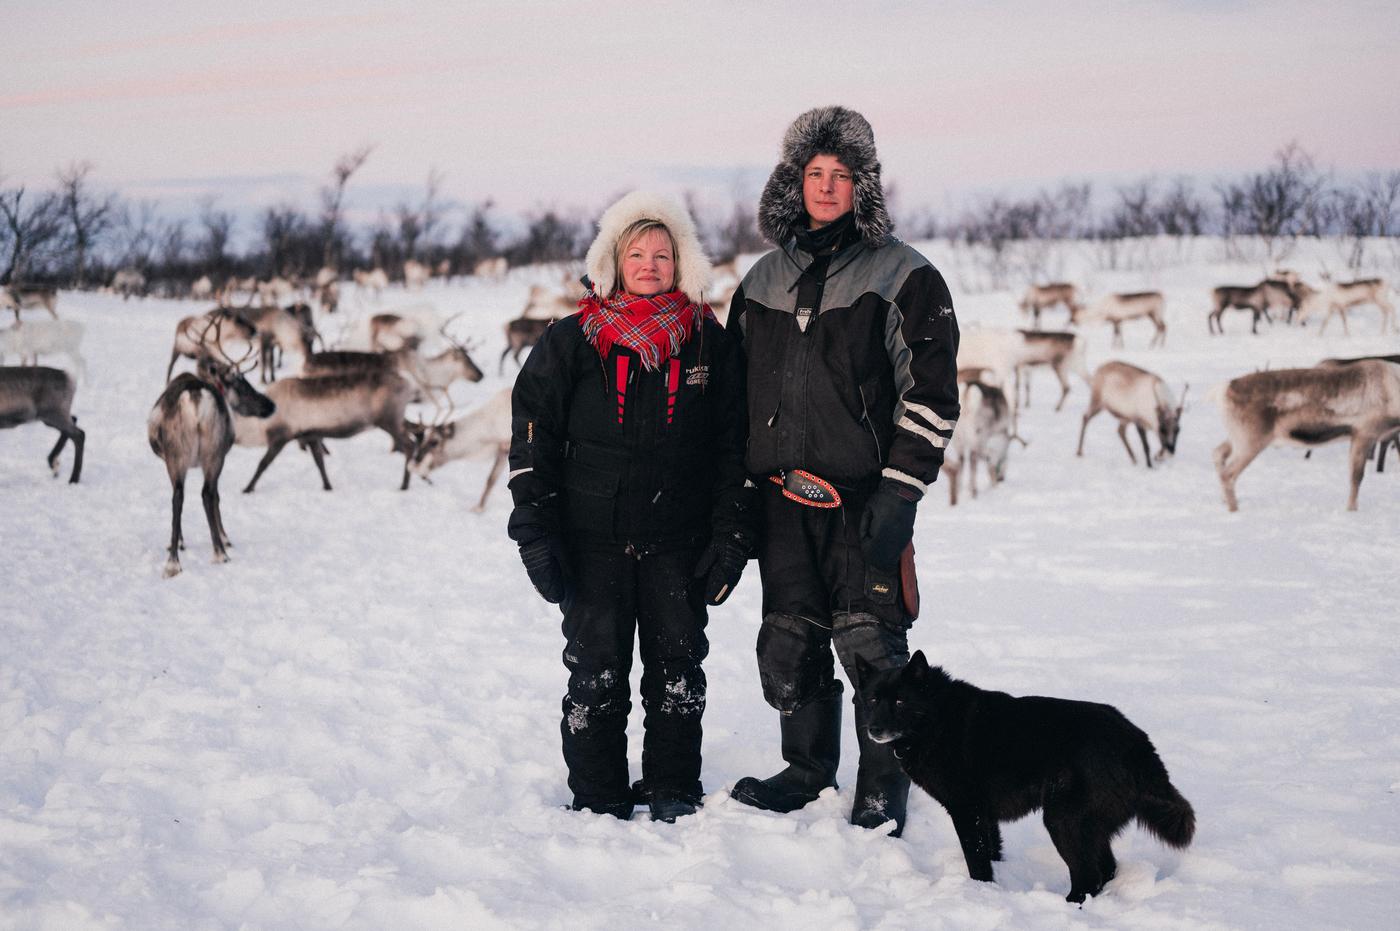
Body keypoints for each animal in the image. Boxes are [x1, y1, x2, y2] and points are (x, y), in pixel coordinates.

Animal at [856, 649, 1198, 901]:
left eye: (900, 701)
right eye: (873, 699)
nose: (874, 729)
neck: (935, 719)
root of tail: (1137, 741)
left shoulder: (966, 810)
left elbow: (976, 860)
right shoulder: (984, 815)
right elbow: (990, 852)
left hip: (1062, 820)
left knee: (1088, 877)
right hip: (1089, 824)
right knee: (1106, 869)